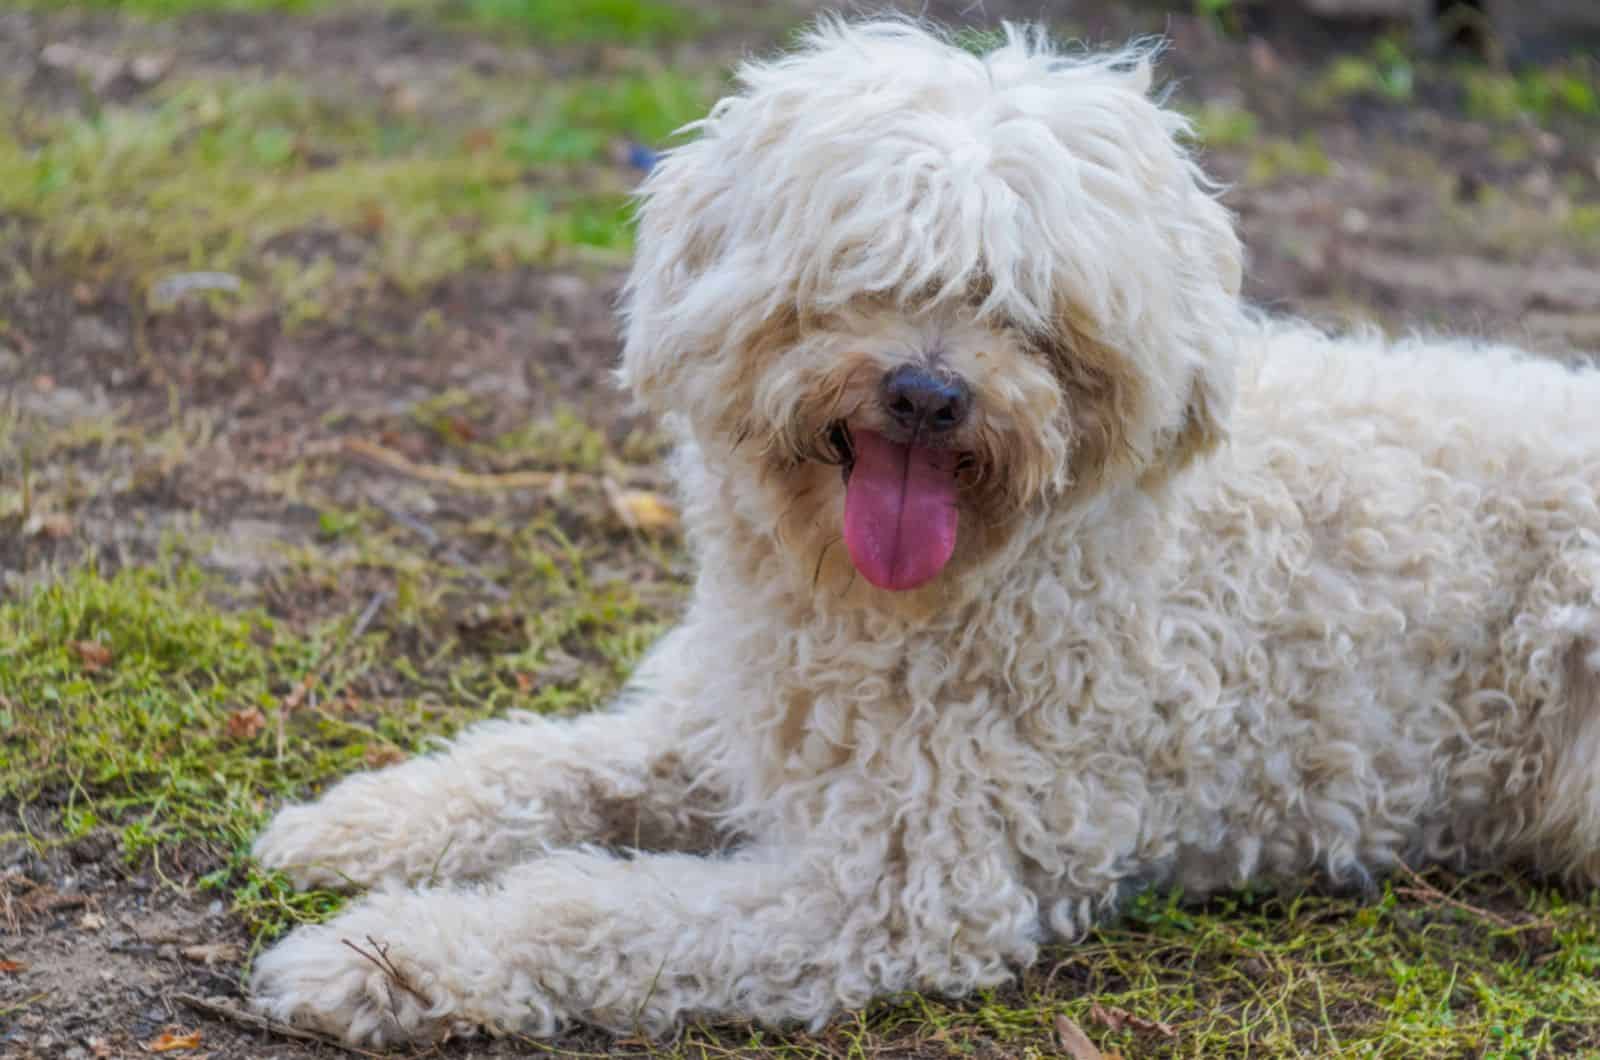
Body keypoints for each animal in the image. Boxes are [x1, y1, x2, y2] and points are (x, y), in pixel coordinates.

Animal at [246, 20, 1600, 1050]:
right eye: (864, 272)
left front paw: (386, 955)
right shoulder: (727, 725)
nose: (927, 393)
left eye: (1032, 315)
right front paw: (361, 825)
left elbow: (590, 911)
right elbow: (543, 763)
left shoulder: (898, 891)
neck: (889, 603)